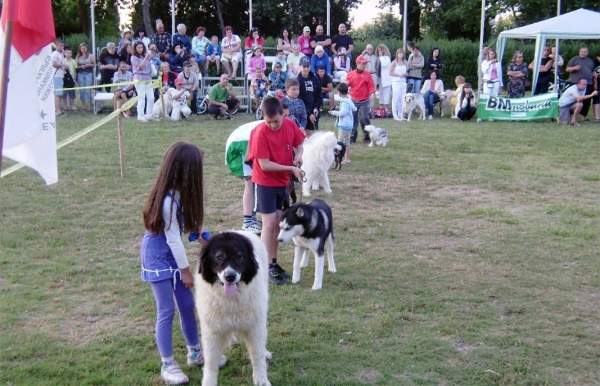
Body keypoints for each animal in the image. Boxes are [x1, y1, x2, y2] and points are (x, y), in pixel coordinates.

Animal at [196, 231, 270, 386]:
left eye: (239, 256)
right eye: (219, 257)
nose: (230, 277)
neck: (231, 300)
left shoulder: (255, 327)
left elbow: (257, 355)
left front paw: (261, 380)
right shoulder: (212, 331)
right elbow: (210, 361)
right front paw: (209, 382)